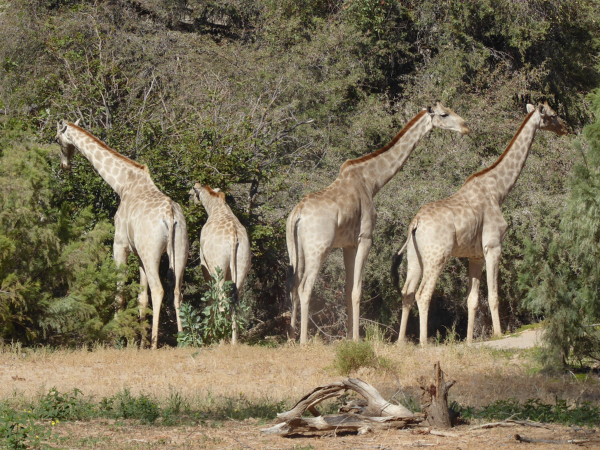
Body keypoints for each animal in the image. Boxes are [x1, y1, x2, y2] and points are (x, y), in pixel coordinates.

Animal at [56, 119, 189, 348]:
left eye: (56, 139)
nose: (64, 165)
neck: (123, 184)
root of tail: (170, 215)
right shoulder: (139, 255)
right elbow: (141, 297)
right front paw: (139, 342)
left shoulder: (120, 245)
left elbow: (119, 292)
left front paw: (117, 336)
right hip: (178, 250)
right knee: (176, 291)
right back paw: (181, 340)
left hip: (152, 252)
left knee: (159, 289)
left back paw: (154, 343)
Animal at [190, 183, 251, 344]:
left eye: (191, 193)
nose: (190, 199)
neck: (215, 207)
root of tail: (233, 236)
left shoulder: (205, 264)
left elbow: (210, 297)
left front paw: (208, 336)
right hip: (241, 267)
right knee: (234, 301)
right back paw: (233, 340)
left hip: (218, 269)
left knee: (222, 299)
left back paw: (221, 339)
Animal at [288, 103, 472, 344]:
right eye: (444, 114)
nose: (466, 126)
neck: (371, 181)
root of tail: (297, 214)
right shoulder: (365, 237)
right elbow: (357, 290)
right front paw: (357, 339)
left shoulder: (348, 244)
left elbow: (348, 289)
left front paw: (350, 337)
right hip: (318, 247)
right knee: (304, 287)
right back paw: (303, 341)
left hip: (296, 250)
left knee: (293, 286)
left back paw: (291, 336)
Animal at [392, 102, 568, 346]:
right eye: (553, 115)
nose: (565, 128)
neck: (498, 190)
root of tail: (415, 223)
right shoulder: (493, 246)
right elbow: (493, 295)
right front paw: (498, 333)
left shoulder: (474, 255)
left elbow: (472, 299)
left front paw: (468, 340)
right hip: (437, 256)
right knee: (422, 294)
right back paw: (424, 342)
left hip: (414, 257)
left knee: (407, 292)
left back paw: (401, 341)